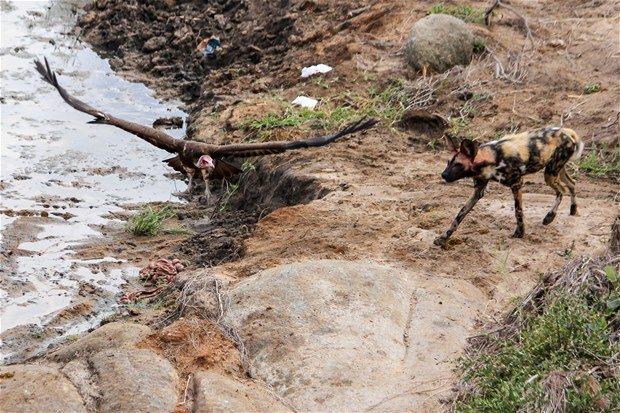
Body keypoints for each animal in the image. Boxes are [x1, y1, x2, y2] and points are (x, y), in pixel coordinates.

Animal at [434, 125, 584, 246]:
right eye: (448, 162)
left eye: (458, 165)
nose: (443, 175)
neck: (490, 159)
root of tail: (567, 132)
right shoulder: (478, 191)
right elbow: (459, 215)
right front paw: (443, 238)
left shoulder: (517, 184)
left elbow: (518, 211)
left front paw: (520, 233)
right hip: (556, 171)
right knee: (571, 184)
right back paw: (573, 209)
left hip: (550, 174)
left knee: (561, 190)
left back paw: (550, 216)